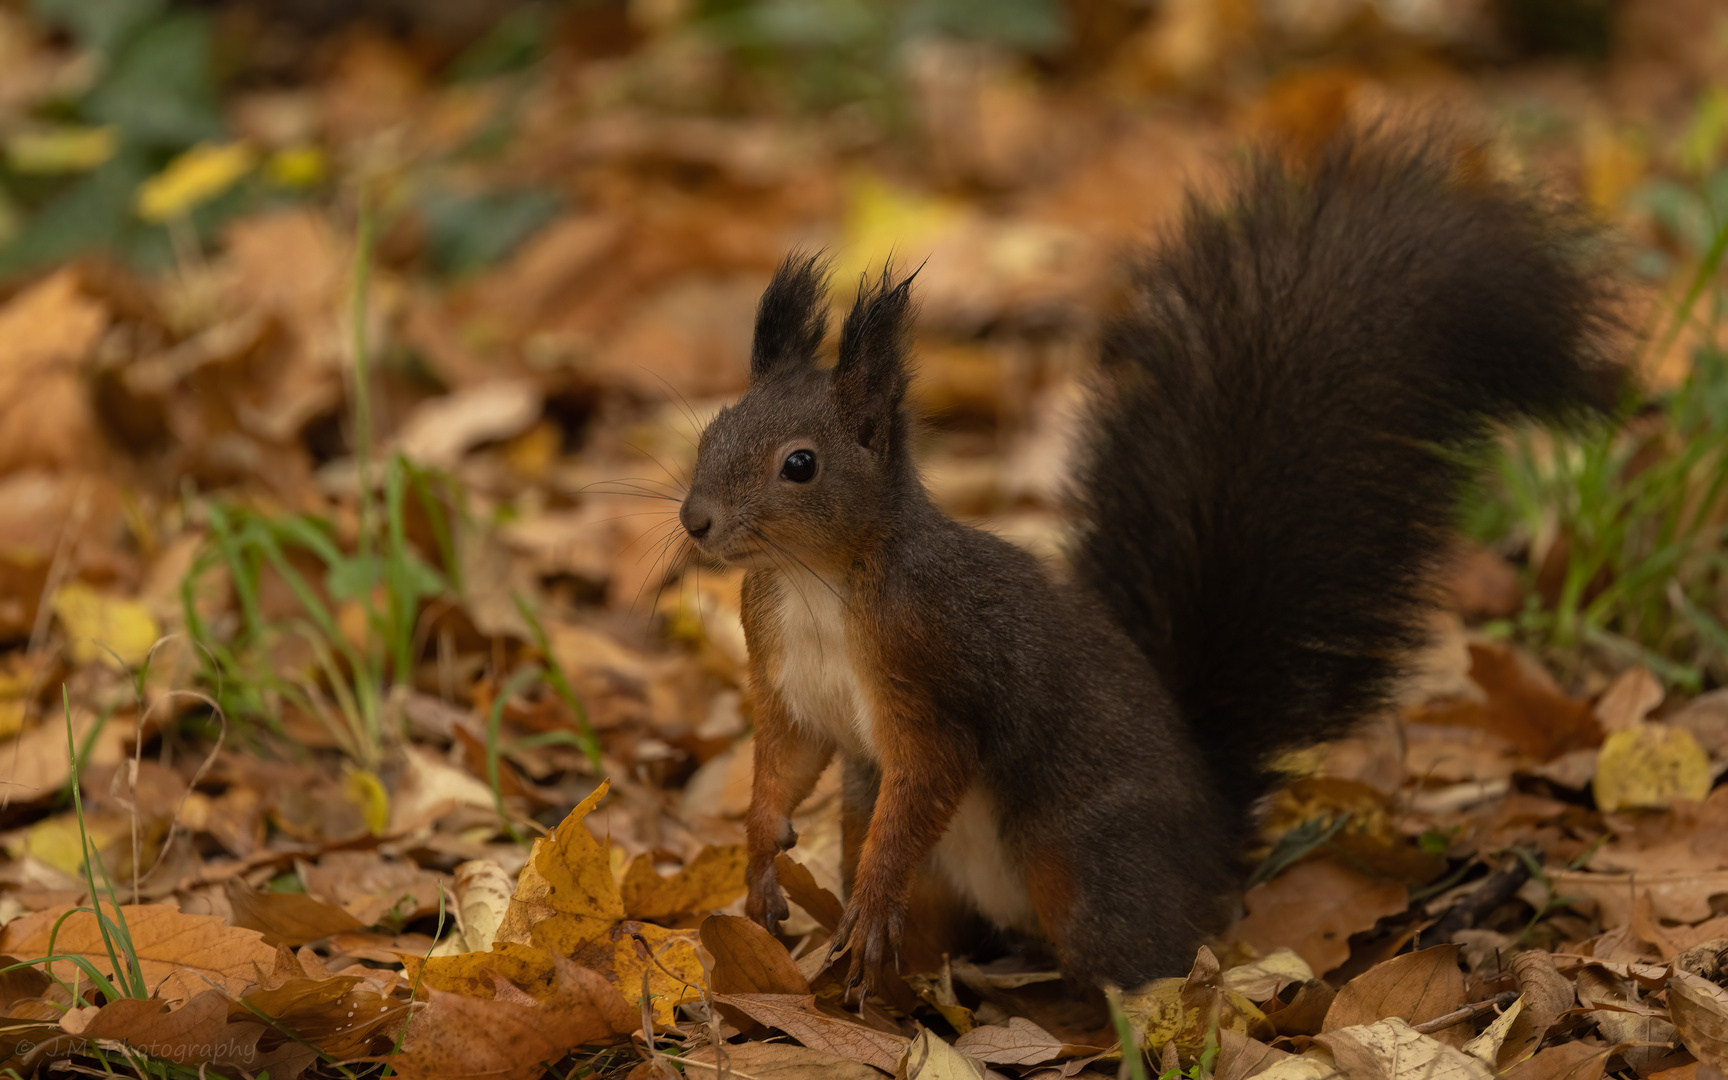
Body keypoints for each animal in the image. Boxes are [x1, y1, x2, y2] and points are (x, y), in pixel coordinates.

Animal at [670, 128, 1617, 995]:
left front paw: (866, 898)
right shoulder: (782, 669)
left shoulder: (936, 667)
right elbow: (784, 763)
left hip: (1090, 866)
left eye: (800, 464)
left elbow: (927, 779)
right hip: (947, 874)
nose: (695, 521)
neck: (815, 579)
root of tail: (1211, 835)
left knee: (1147, 961)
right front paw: (758, 859)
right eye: (713, 431)